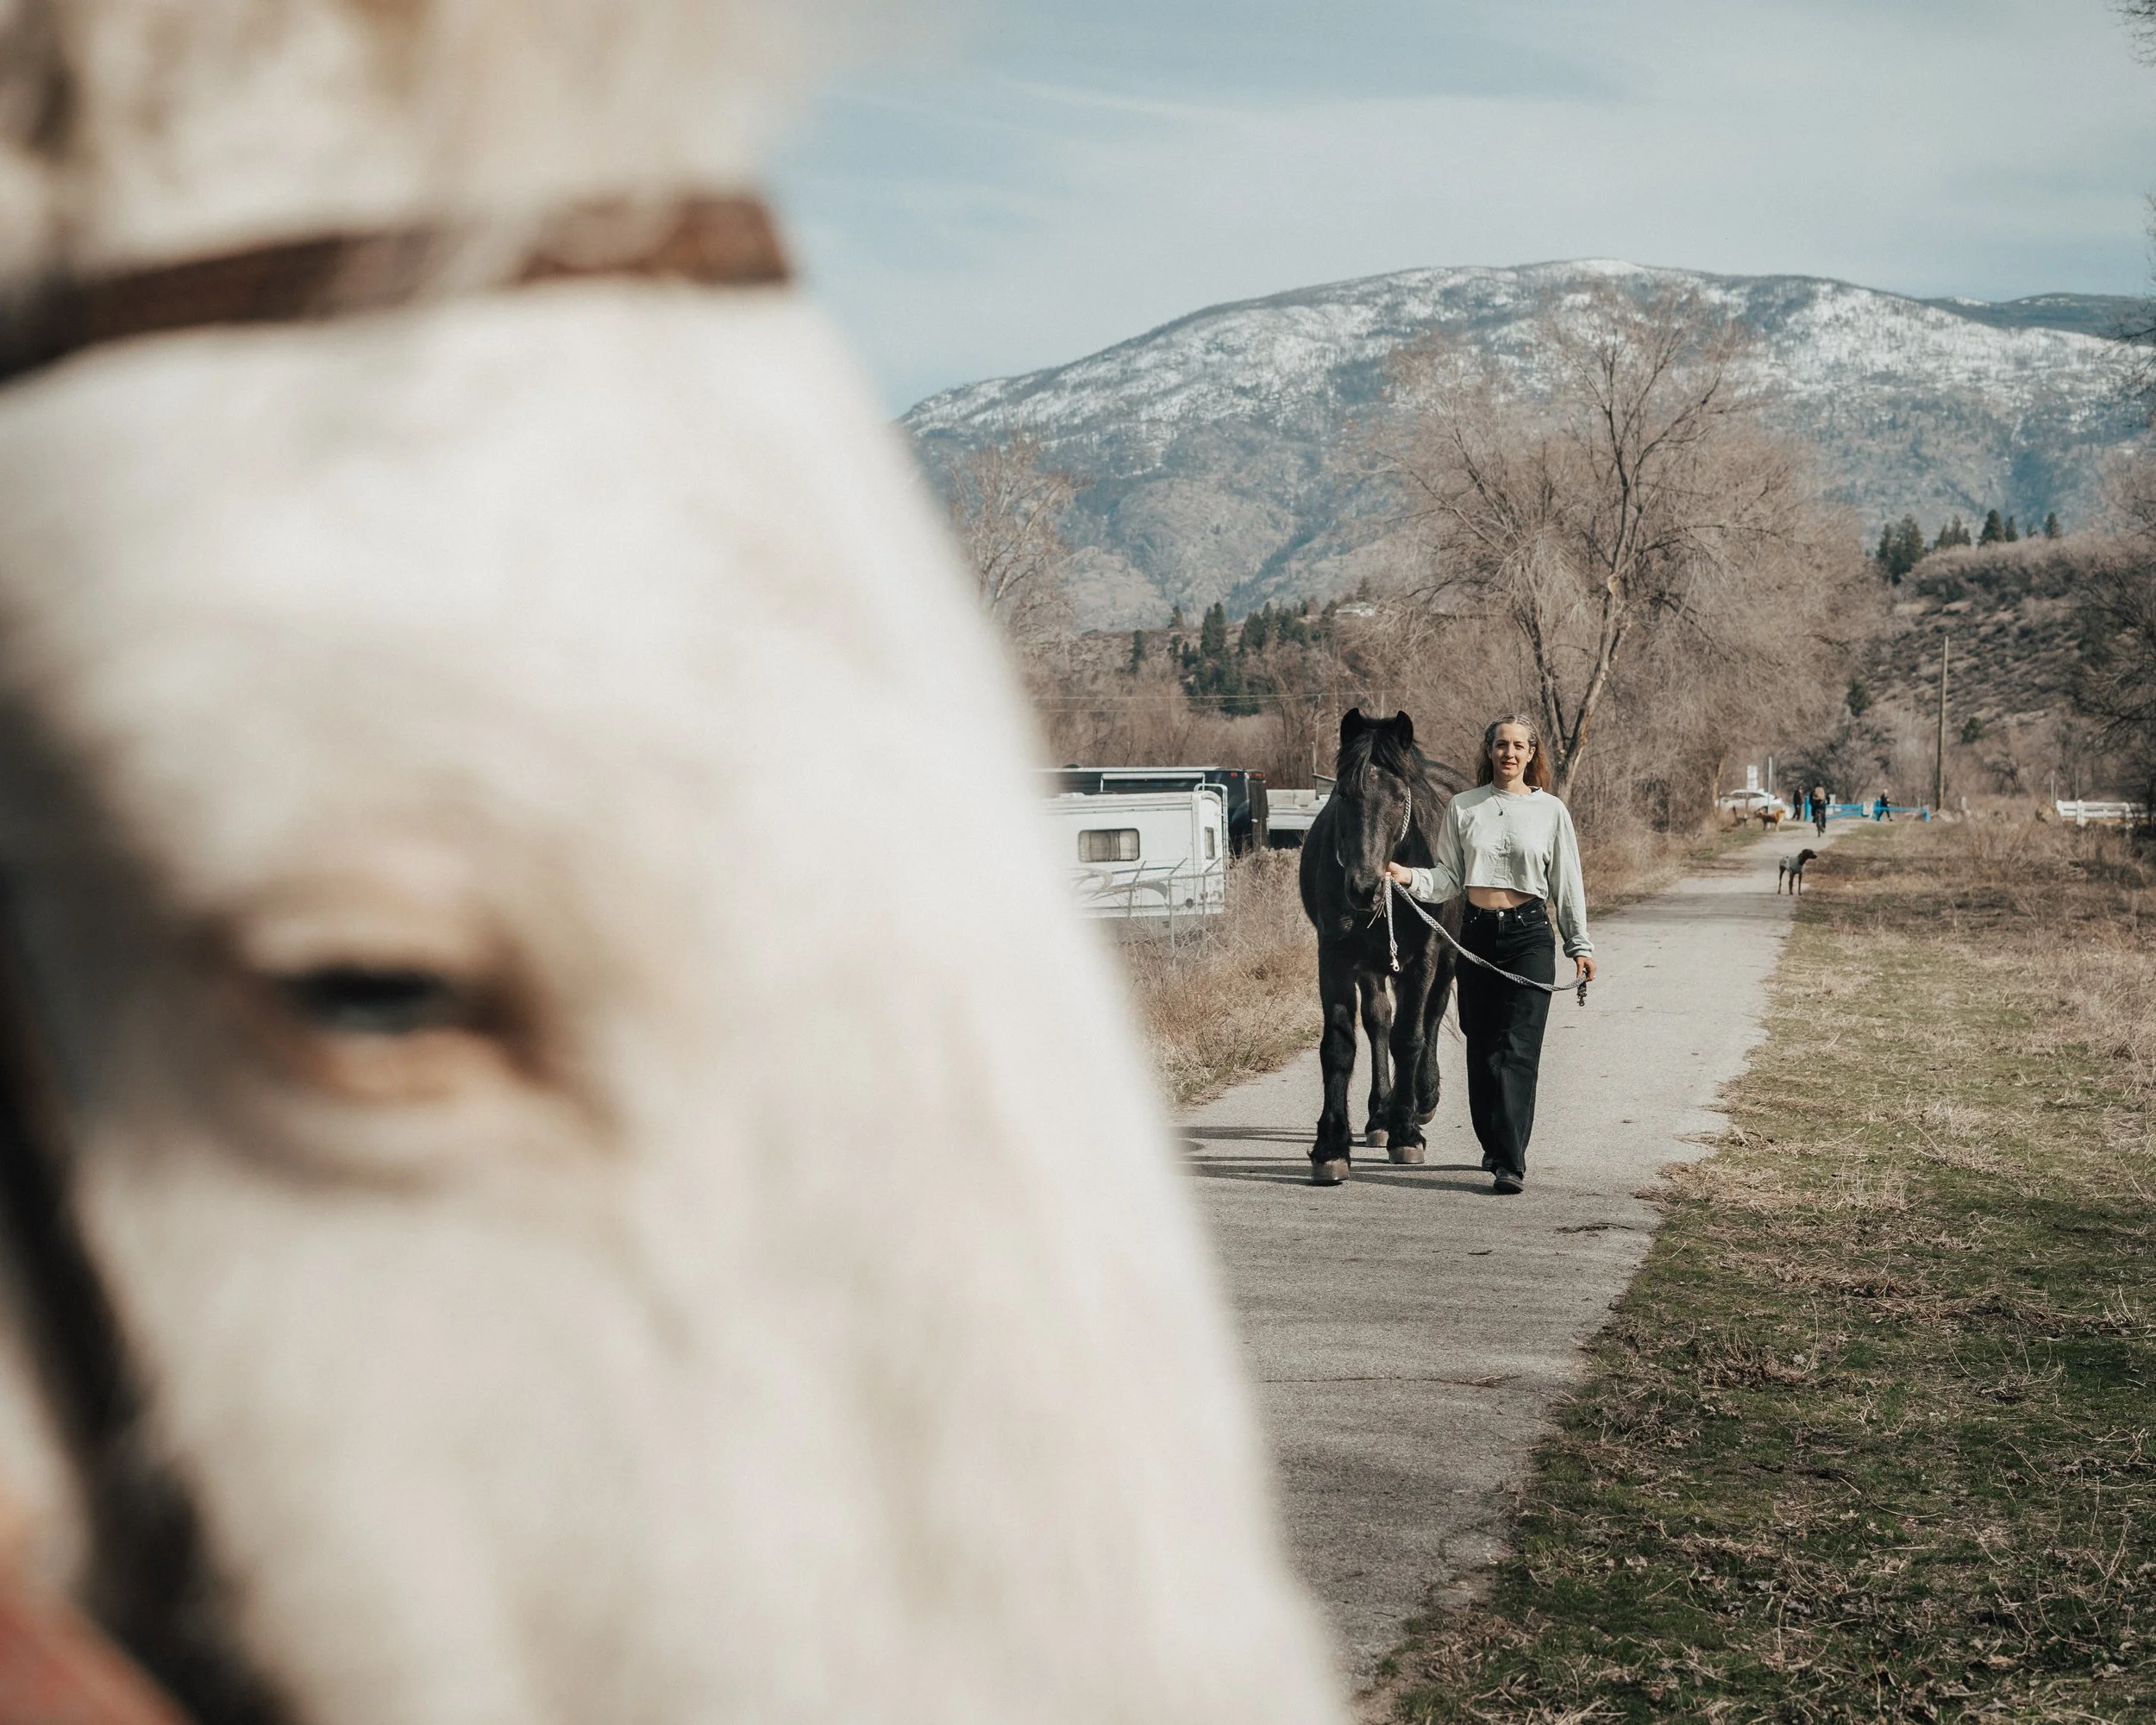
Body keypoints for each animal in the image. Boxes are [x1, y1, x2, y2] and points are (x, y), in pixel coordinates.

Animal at [1298, 710, 1465, 1184]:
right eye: (1343, 793)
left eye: (1399, 795)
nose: (1364, 887)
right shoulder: (1335, 958)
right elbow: (1340, 1046)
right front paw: (1331, 1146)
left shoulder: (1424, 956)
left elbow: (1410, 1037)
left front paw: (1406, 1133)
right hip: (1372, 965)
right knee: (1378, 1022)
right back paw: (1378, 1115)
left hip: (1446, 957)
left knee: (1431, 1017)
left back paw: (1421, 1100)